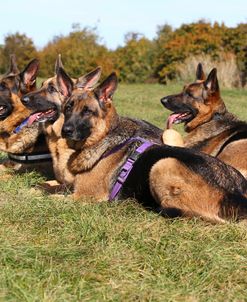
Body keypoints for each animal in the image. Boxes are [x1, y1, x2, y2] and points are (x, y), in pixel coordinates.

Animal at [22, 67, 247, 223]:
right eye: (68, 108)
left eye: (87, 111)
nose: (66, 130)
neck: (102, 141)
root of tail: (238, 195)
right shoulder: (72, 185)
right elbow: (44, 187)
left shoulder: (83, 196)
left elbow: (49, 197)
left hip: (163, 164)